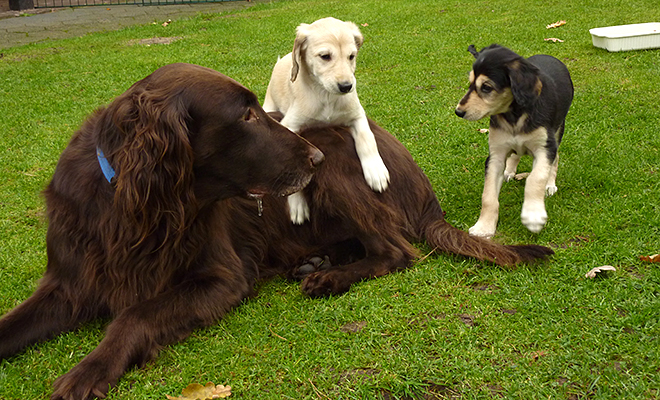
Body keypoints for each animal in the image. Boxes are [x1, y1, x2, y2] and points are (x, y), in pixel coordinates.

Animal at [0, 63, 552, 400]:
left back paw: (328, 276)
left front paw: (89, 370)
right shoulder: (68, 281)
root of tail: (424, 189)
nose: (314, 157)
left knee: (395, 250)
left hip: (341, 165)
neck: (133, 206)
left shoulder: (221, 277)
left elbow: (133, 316)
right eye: (245, 116)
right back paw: (318, 261)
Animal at [262, 17, 390, 223]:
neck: (326, 96)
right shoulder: (290, 125)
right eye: (325, 56)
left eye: (351, 56)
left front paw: (375, 170)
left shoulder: (357, 115)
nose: (346, 86)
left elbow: (367, 139)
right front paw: (297, 204)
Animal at [454, 43, 572, 238]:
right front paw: (484, 226)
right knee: (516, 153)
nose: (458, 112)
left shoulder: (545, 148)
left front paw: (533, 216)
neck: (514, 114)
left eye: (486, 87)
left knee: (555, 159)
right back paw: (509, 171)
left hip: (557, 131)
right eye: (470, 83)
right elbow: (488, 196)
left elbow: (536, 178)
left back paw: (550, 185)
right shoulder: (495, 155)